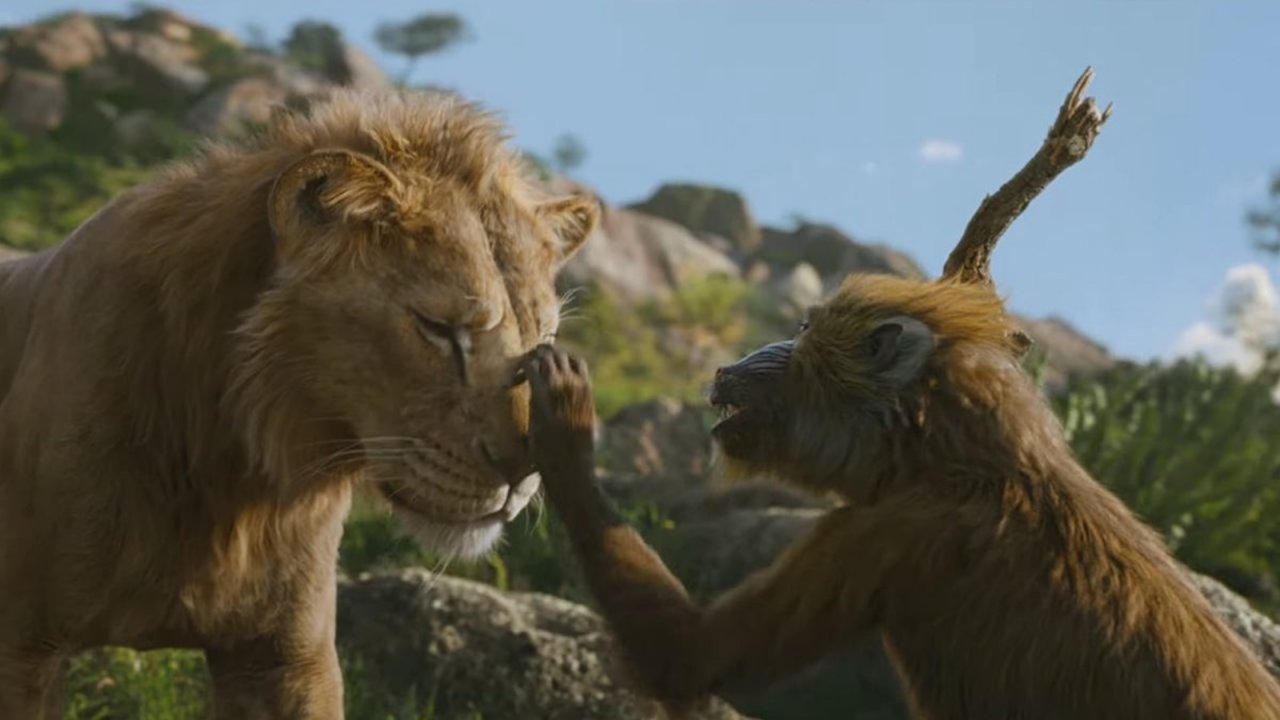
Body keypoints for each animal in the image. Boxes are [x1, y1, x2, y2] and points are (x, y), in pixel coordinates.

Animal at [0, 88, 598, 718]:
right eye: (437, 327)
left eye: (544, 341)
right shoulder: (22, 646)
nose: (523, 470)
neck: (228, 475)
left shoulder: (287, 657)